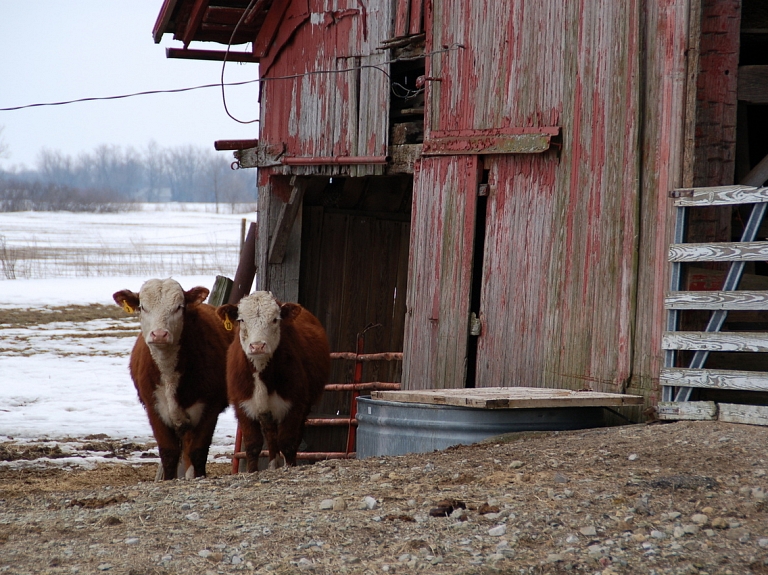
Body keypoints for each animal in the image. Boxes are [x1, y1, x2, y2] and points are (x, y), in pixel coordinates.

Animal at [112, 280, 231, 482]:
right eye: (142, 307)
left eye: (179, 307)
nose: (159, 334)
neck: (169, 374)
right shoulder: (154, 408)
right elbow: (169, 454)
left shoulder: (210, 408)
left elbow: (199, 452)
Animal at [219, 292, 332, 472]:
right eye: (241, 320)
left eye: (274, 319)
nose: (257, 346)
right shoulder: (242, 404)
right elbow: (253, 444)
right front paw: (252, 471)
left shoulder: (294, 404)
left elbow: (288, 442)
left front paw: (290, 466)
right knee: (270, 435)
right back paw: (273, 465)